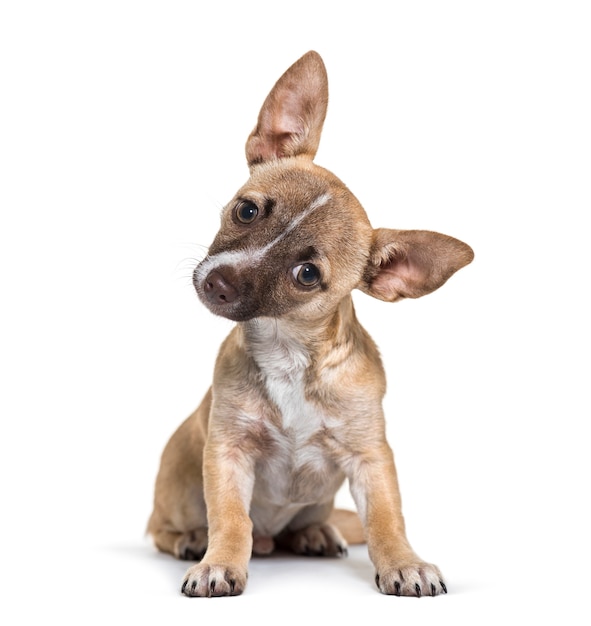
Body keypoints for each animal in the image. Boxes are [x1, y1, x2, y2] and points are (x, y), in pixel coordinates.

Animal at [149, 48, 476, 596]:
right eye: (246, 210)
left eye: (307, 275)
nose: (217, 283)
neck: (289, 351)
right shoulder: (228, 452)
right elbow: (231, 518)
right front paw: (220, 562)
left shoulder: (371, 458)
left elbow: (387, 518)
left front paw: (403, 561)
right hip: (178, 484)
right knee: (161, 529)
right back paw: (192, 539)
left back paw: (315, 533)